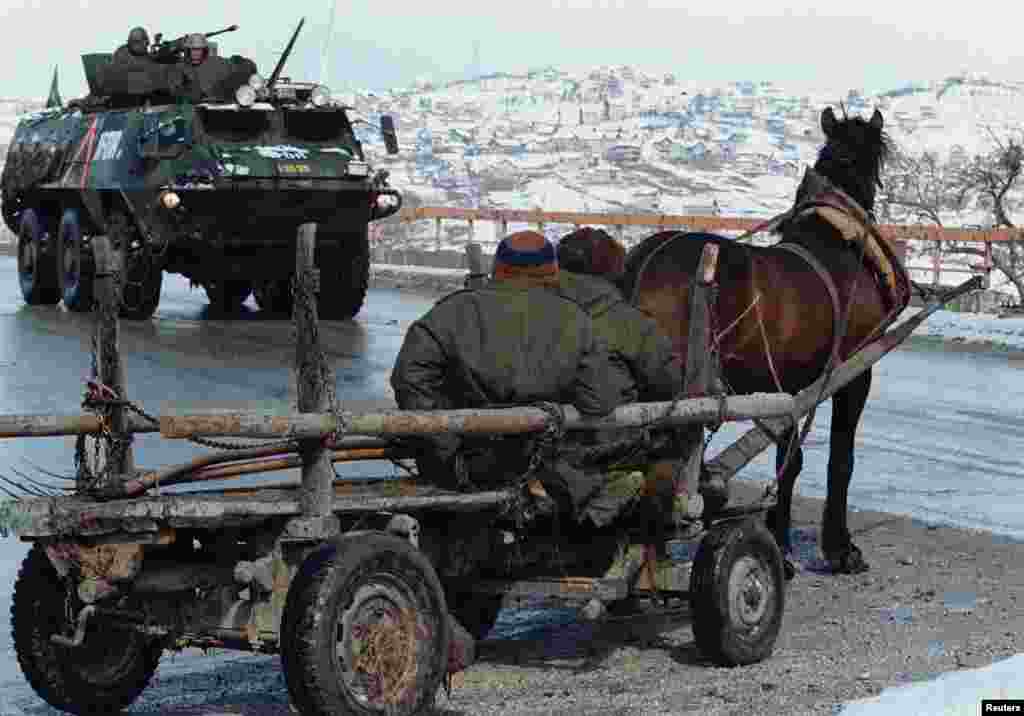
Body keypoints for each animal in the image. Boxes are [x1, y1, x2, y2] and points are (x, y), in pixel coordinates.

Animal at [606, 106, 905, 577]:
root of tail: (643, 262)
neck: (839, 242)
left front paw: (780, 541)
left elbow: (790, 461)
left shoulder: (792, 386)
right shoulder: (854, 375)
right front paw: (839, 549)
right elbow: (840, 460)